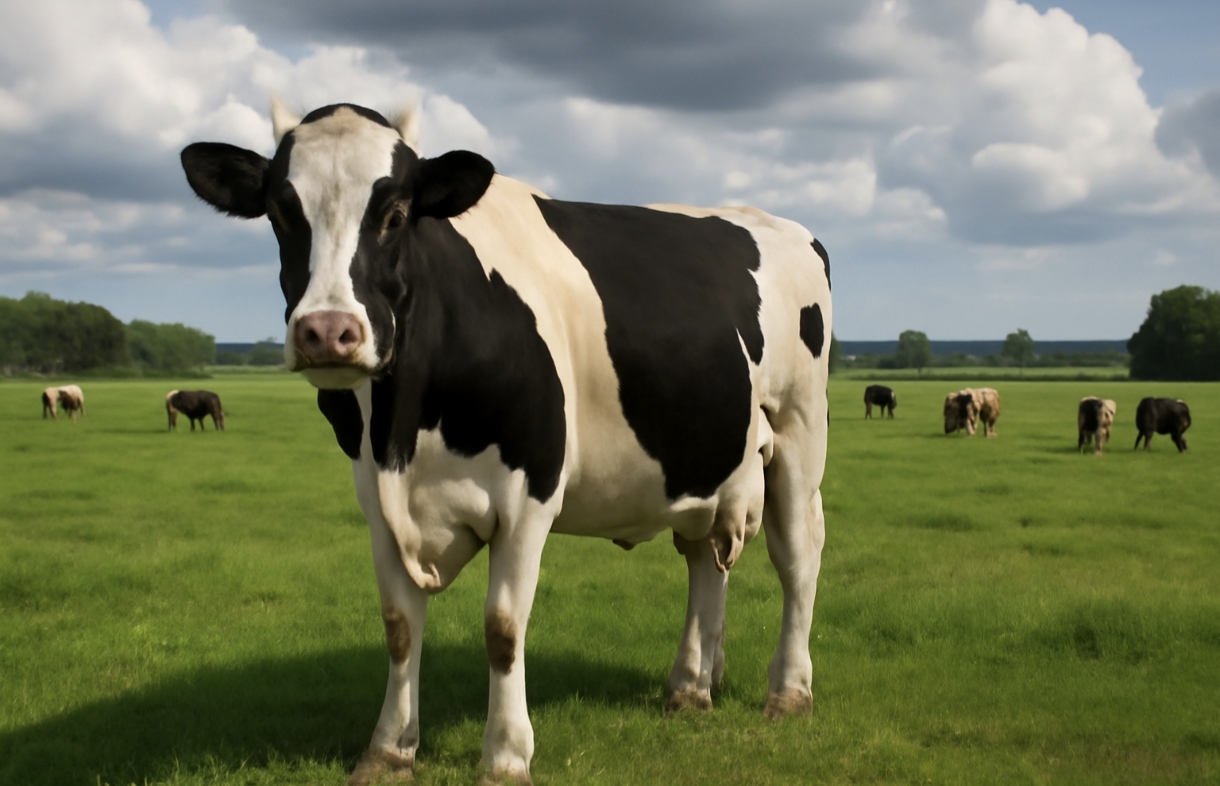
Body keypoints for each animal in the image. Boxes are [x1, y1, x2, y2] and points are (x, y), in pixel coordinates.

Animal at [181, 101, 831, 786]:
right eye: (282, 213)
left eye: (395, 214)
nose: (328, 331)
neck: (403, 430)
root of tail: (780, 224)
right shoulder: (377, 501)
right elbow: (399, 626)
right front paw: (388, 749)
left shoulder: (530, 492)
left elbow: (502, 626)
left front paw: (506, 754)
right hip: (707, 459)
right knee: (705, 555)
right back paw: (689, 689)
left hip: (799, 432)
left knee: (798, 556)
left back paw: (788, 692)